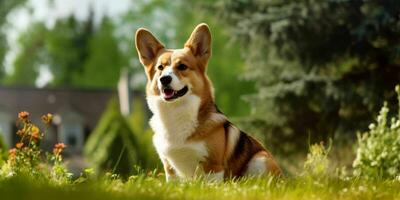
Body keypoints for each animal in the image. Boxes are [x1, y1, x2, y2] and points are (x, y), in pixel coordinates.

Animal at [134, 23, 282, 181]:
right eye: (160, 68)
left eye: (182, 66)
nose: (164, 79)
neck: (176, 111)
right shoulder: (170, 169)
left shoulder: (213, 166)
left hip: (261, 159)